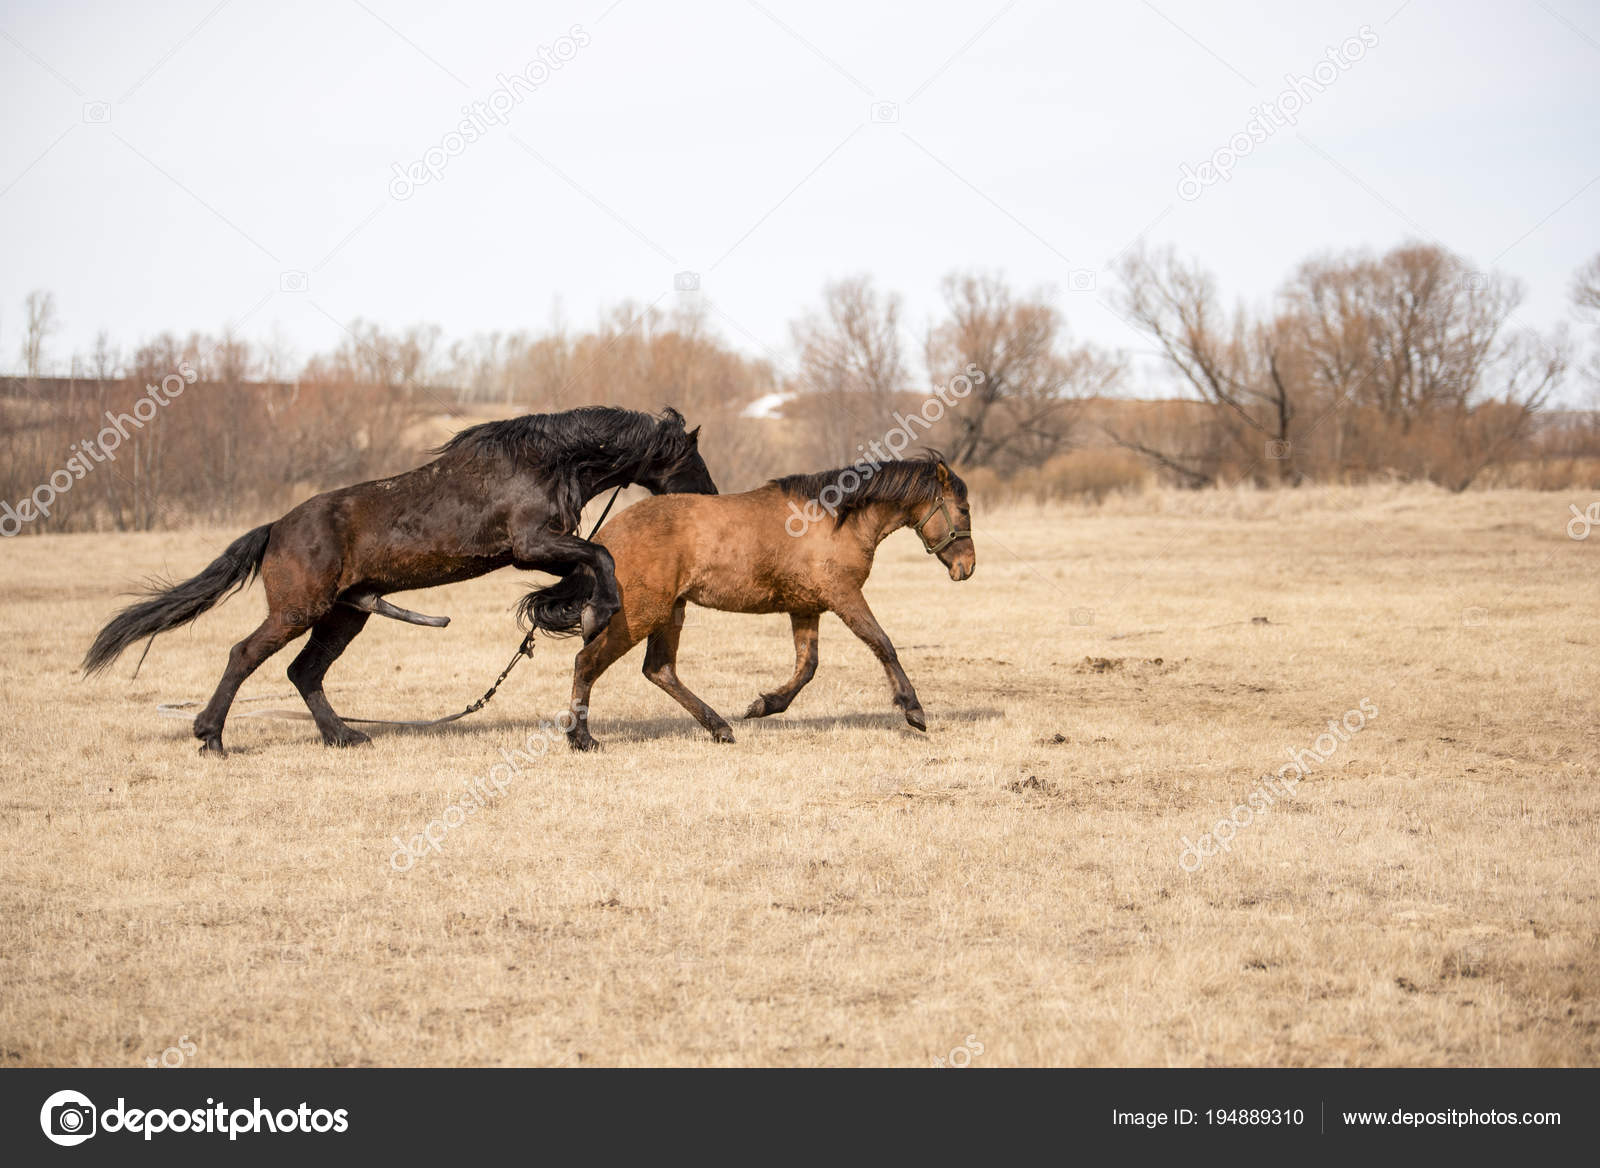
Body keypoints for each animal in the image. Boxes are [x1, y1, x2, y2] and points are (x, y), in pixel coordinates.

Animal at [81, 404, 720, 752]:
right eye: (693, 459)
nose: (714, 500)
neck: (548, 460)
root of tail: (275, 528)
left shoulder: (542, 552)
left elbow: (589, 566)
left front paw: (575, 611)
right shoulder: (532, 546)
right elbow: (601, 560)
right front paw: (595, 613)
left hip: (344, 615)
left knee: (303, 672)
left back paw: (344, 736)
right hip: (299, 611)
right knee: (245, 655)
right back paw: (211, 736)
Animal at [521, 454, 972, 745]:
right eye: (964, 509)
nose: (966, 566)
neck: (836, 519)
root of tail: (606, 537)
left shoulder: (805, 608)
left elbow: (807, 667)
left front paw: (765, 705)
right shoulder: (844, 596)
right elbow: (883, 644)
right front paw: (913, 710)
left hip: (670, 612)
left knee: (659, 670)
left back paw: (720, 727)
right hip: (639, 615)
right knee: (588, 662)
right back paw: (581, 737)